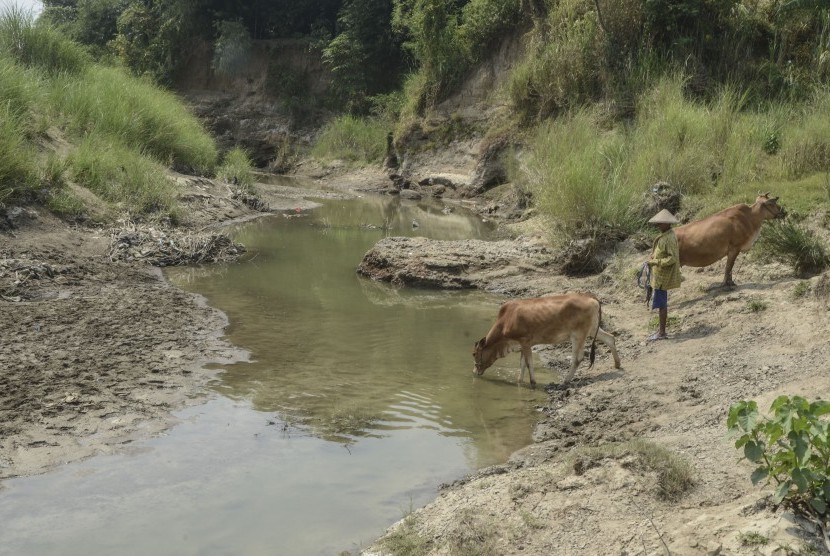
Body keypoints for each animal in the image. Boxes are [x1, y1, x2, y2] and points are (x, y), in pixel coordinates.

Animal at [478, 292, 620, 386]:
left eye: (475, 354)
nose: (475, 371)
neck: (506, 320)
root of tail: (589, 296)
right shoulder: (524, 344)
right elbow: (522, 363)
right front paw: (519, 381)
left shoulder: (524, 341)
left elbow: (528, 363)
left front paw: (533, 382)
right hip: (592, 329)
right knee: (610, 338)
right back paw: (617, 364)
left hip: (579, 334)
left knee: (578, 358)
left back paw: (566, 380)